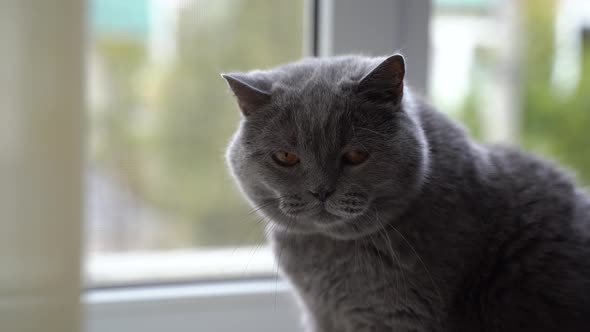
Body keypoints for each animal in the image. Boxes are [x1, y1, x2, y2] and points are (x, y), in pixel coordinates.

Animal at [221, 55, 590, 332]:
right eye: (286, 157)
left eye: (356, 155)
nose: (320, 190)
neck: (329, 255)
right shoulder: (322, 317)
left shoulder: (404, 318)